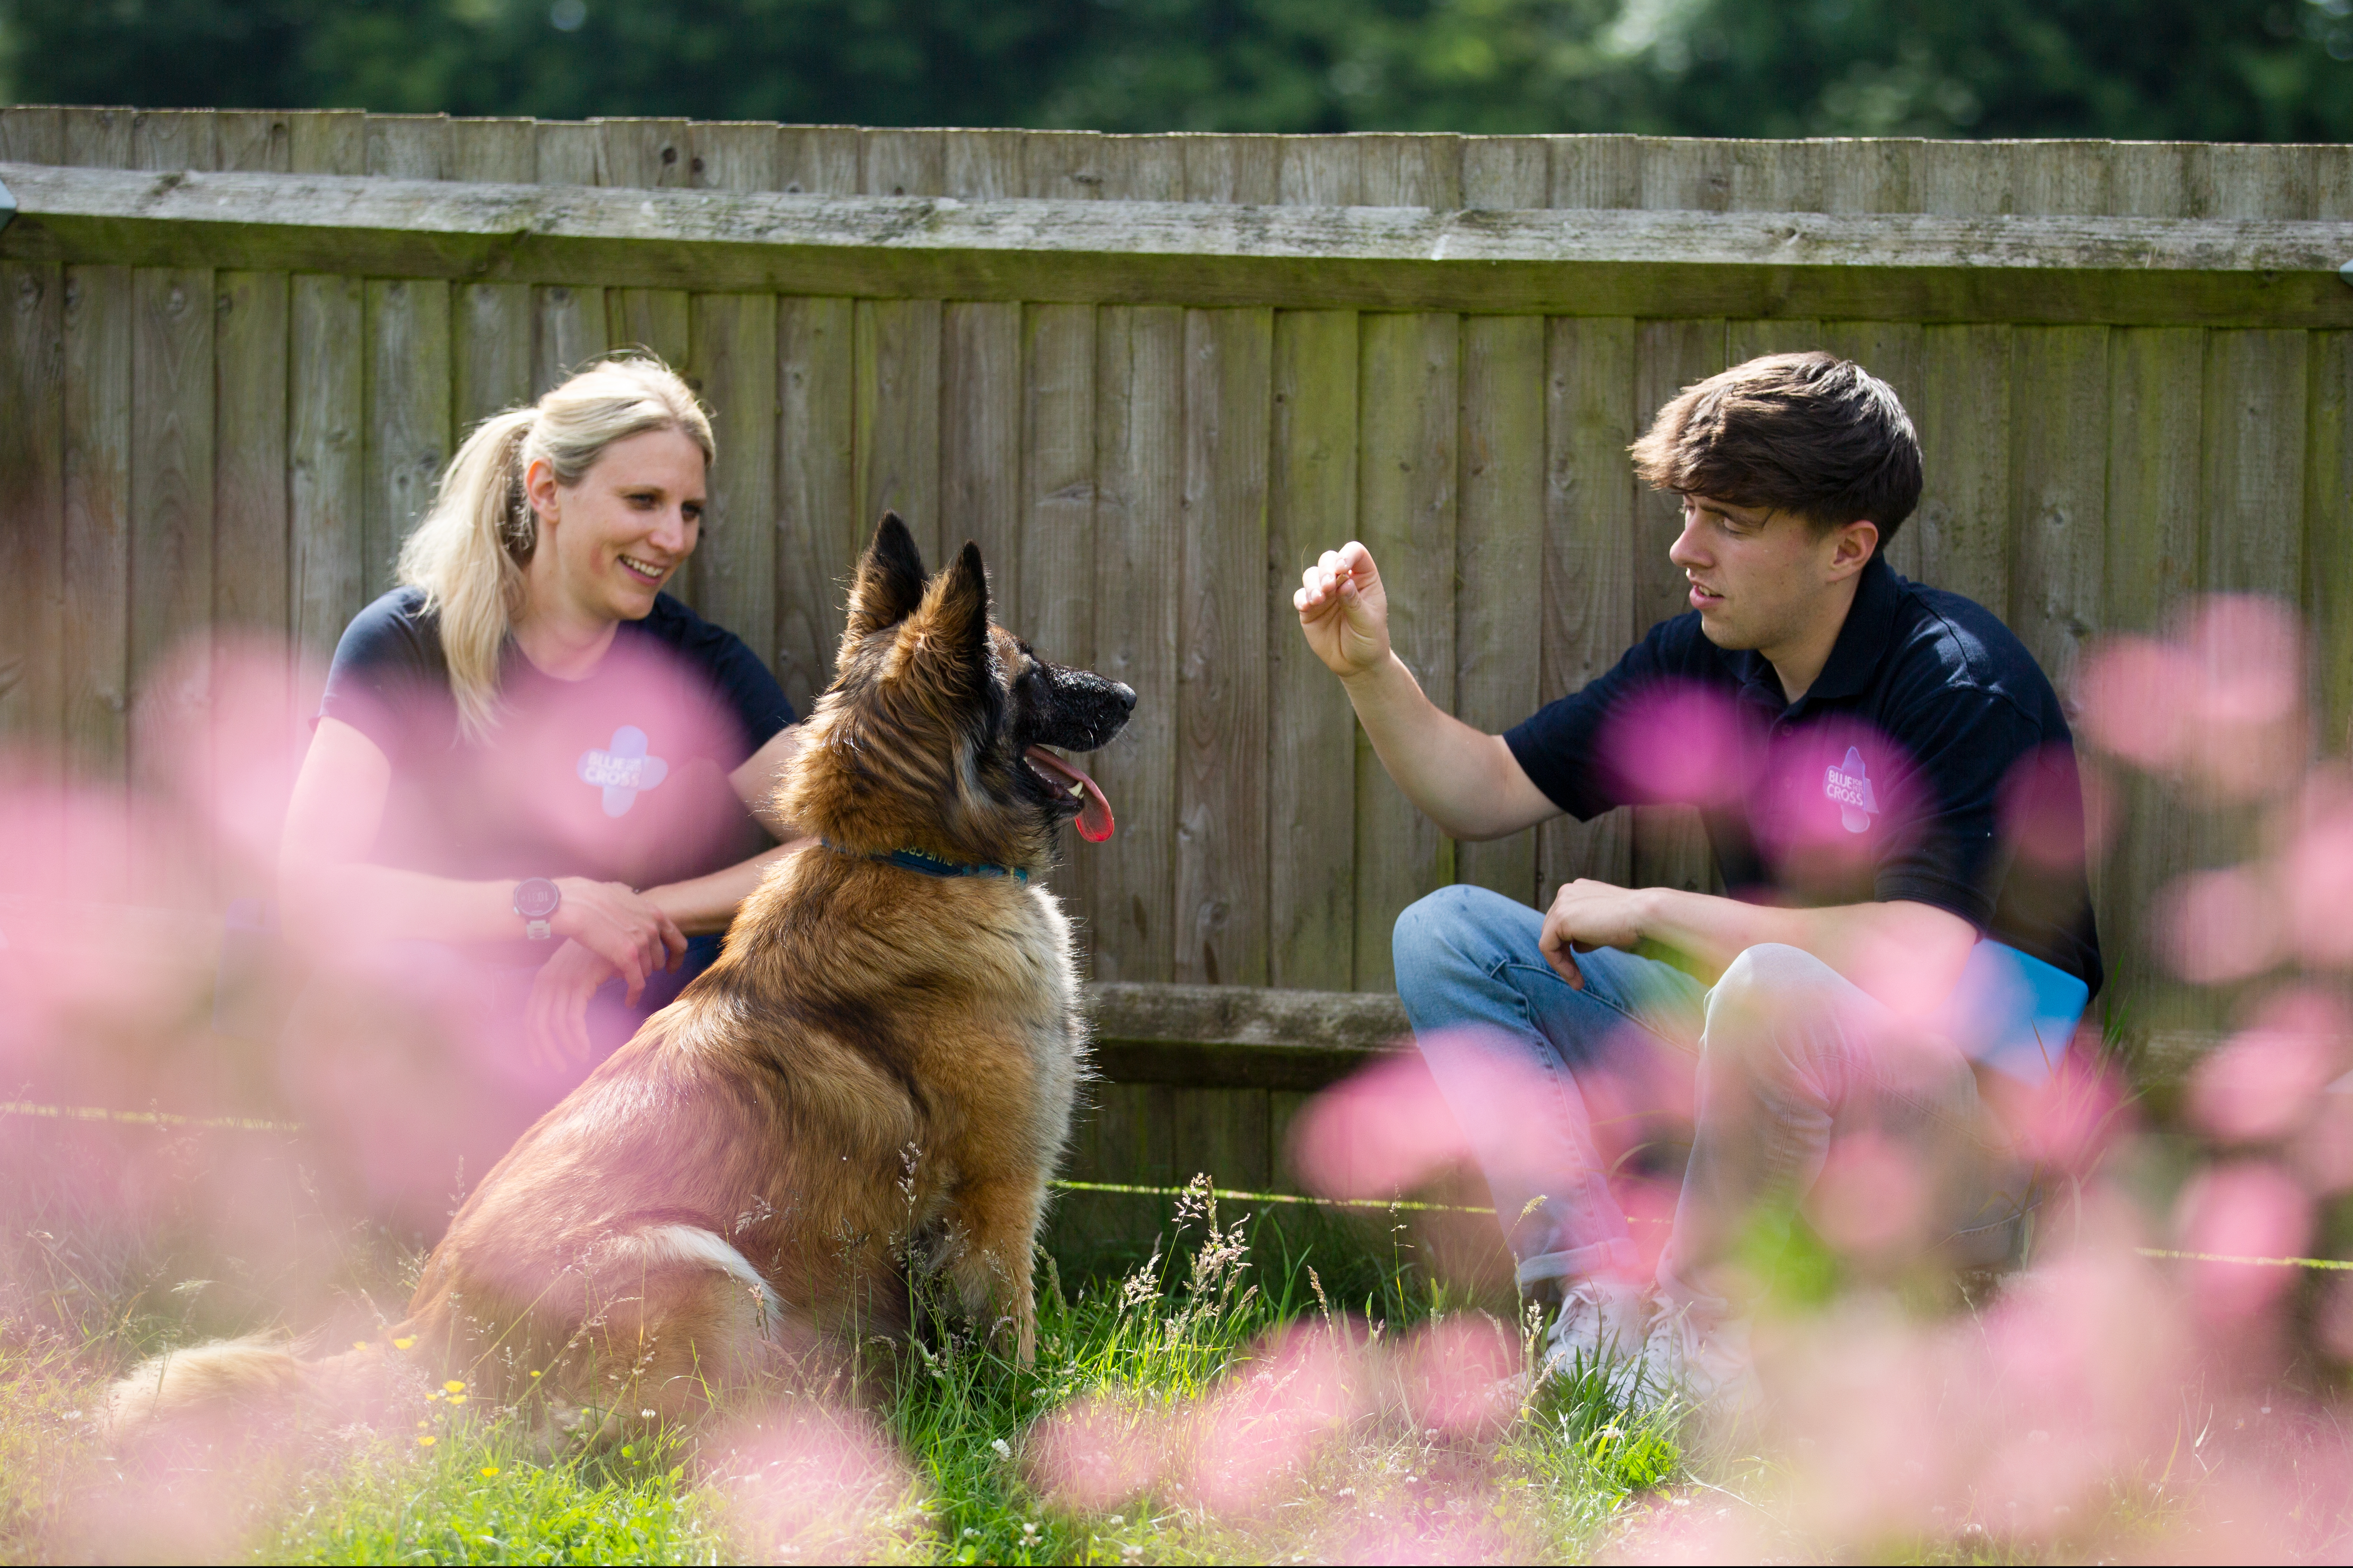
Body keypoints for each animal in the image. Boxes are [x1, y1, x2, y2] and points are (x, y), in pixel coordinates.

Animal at [114, 515, 1134, 1439]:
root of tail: (422, 1350)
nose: (1125, 693)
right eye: (1033, 670)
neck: (909, 856)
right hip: (706, 1268)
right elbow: (1012, 1327)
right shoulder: (998, 1195)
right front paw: (1028, 1416)